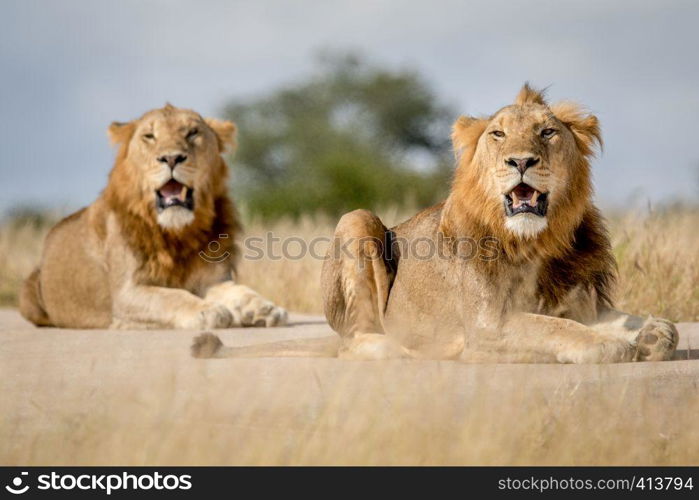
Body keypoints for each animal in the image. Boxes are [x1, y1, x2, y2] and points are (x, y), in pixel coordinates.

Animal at [19, 104, 288, 330]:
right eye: (149, 136)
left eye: (192, 133)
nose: (171, 158)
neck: (178, 232)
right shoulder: (126, 293)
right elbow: (171, 296)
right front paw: (207, 311)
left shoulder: (213, 279)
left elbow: (240, 291)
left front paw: (265, 309)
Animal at [191, 86, 680, 364]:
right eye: (498, 134)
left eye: (548, 132)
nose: (521, 161)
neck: (538, 242)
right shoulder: (487, 326)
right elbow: (555, 328)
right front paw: (613, 346)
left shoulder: (582, 304)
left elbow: (648, 325)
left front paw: (652, 335)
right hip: (358, 220)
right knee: (355, 342)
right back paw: (402, 349)